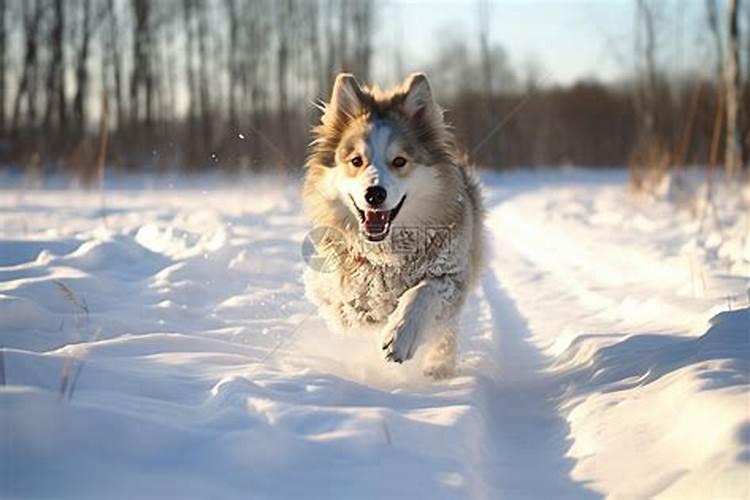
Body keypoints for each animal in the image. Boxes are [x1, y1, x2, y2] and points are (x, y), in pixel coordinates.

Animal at [306, 73, 488, 378]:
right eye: (356, 161)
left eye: (400, 161)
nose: (374, 194)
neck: (387, 252)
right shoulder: (330, 288)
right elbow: (352, 310)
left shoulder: (453, 274)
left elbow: (424, 291)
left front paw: (399, 335)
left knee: (445, 334)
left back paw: (438, 367)